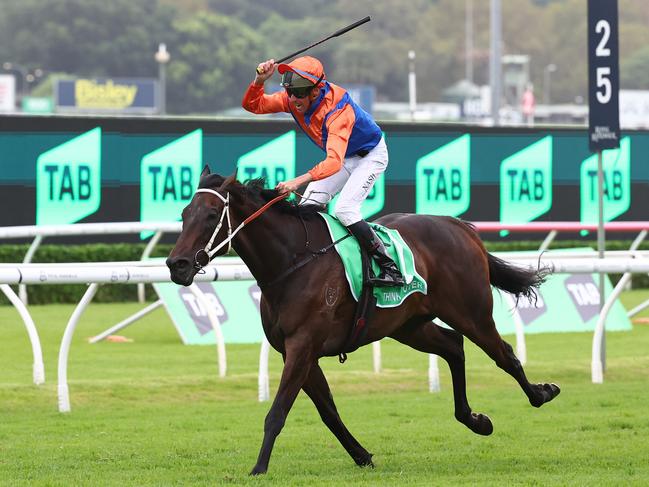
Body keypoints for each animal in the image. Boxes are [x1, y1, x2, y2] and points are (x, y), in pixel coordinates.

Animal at [166, 169, 556, 476]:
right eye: (185, 213)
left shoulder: (302, 346)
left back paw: (540, 393)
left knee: (504, 354)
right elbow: (328, 412)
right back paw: (475, 420)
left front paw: (258, 468)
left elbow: (277, 412)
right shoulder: (296, 351)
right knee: (452, 346)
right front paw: (362, 455)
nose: (176, 265)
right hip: (408, 325)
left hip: (470, 312)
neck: (292, 260)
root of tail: (459, 226)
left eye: (212, 214)